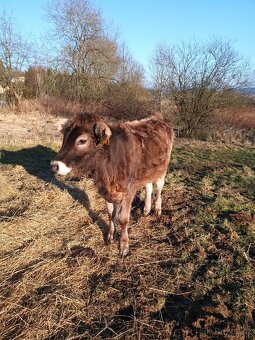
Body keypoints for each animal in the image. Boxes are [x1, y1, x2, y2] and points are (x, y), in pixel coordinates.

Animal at [50, 113, 173, 256]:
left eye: (82, 141)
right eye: (64, 138)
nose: (54, 165)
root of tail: (157, 118)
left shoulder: (129, 190)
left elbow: (123, 219)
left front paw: (124, 245)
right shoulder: (106, 190)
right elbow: (110, 214)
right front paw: (110, 235)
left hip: (162, 168)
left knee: (159, 187)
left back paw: (157, 209)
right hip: (147, 172)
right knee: (148, 186)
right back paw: (146, 209)